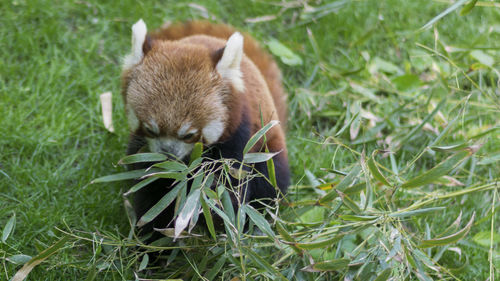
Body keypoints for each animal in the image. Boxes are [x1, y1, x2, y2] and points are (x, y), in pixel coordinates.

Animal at [121, 19, 292, 234]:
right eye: (150, 129)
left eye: (189, 135)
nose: (168, 155)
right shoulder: (144, 152)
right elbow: (152, 189)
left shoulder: (238, 140)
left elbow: (230, 188)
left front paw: (219, 215)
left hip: (268, 144)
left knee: (270, 179)